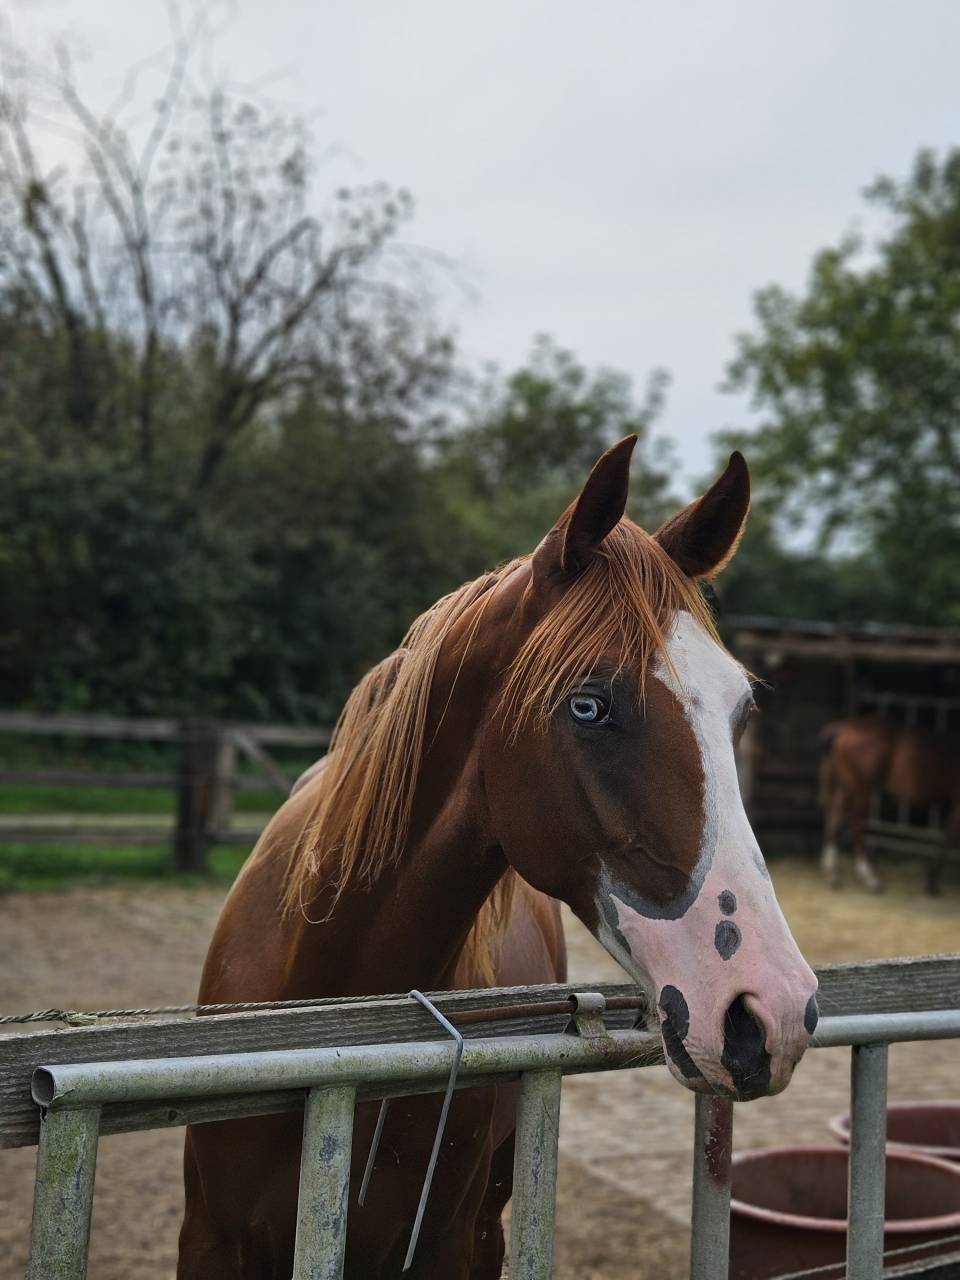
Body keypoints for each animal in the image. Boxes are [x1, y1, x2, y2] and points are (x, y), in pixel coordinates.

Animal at [819, 717, 960, 894]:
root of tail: (841, 727)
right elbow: (949, 838)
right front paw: (932, 881)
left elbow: (948, 837)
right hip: (861, 790)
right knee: (855, 824)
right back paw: (870, 878)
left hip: (845, 786)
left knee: (834, 819)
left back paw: (833, 875)